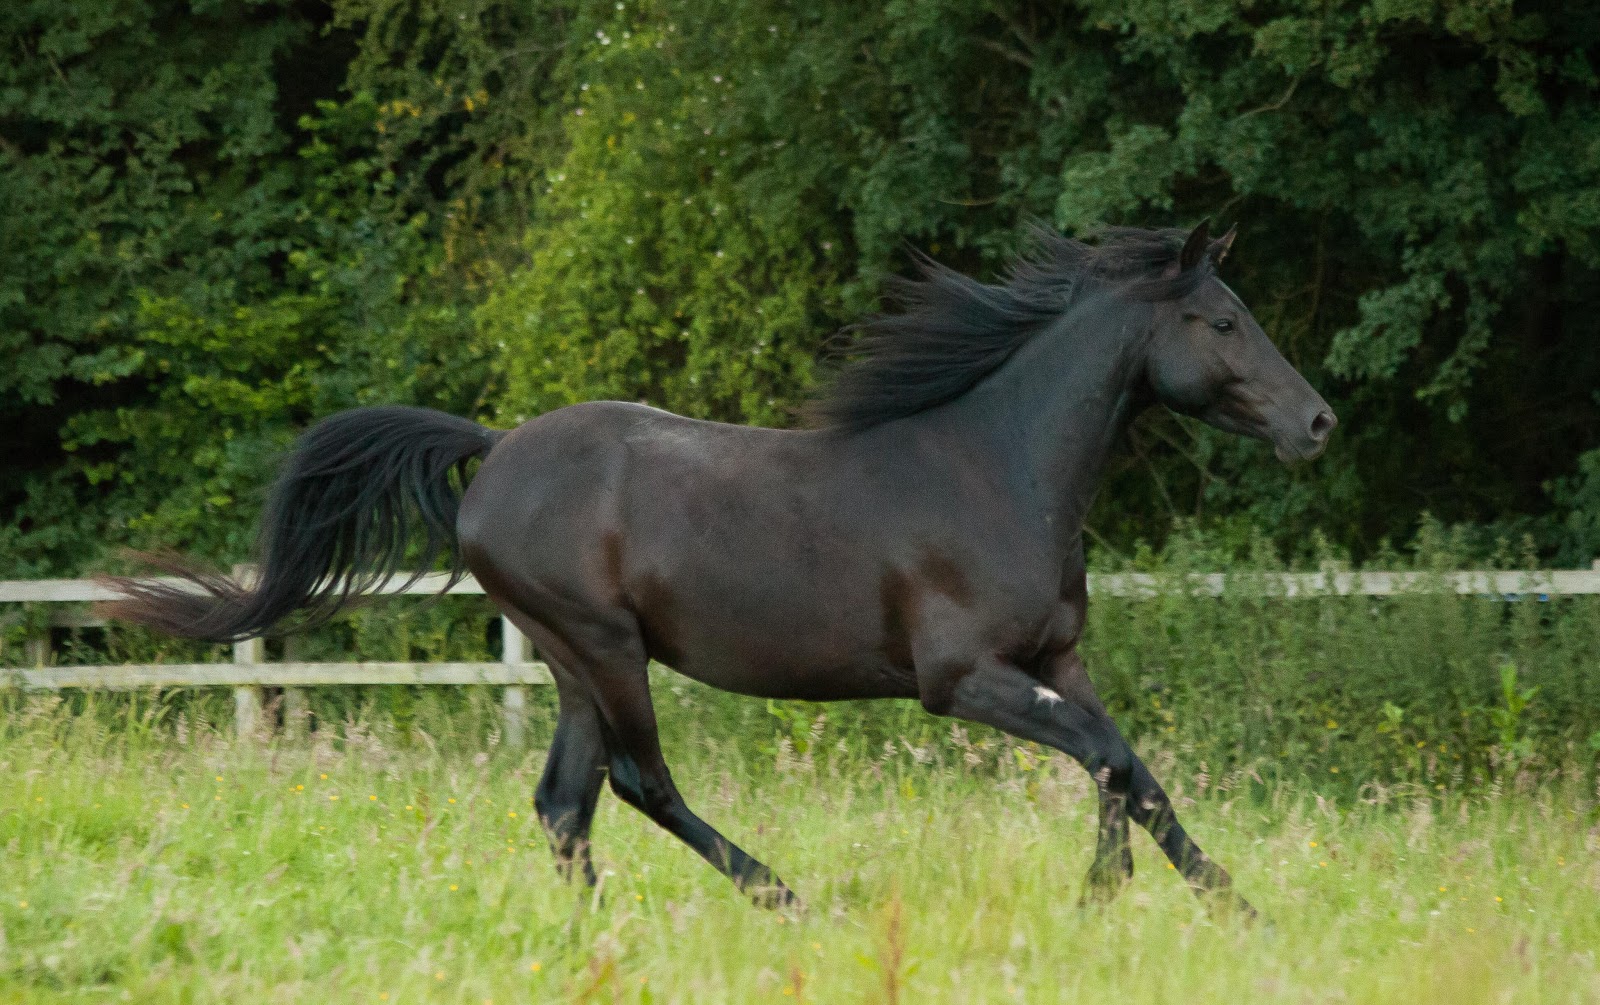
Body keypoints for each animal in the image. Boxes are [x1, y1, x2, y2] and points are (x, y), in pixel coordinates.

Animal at [104, 220, 1335, 916]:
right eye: (1222, 321)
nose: (1318, 422)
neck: (996, 467)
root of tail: (494, 450)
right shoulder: (960, 681)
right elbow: (1111, 757)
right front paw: (1108, 898)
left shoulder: (1056, 659)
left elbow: (1132, 766)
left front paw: (1228, 905)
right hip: (603, 648)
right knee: (636, 785)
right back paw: (782, 896)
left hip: (570, 663)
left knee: (564, 803)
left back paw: (599, 934)